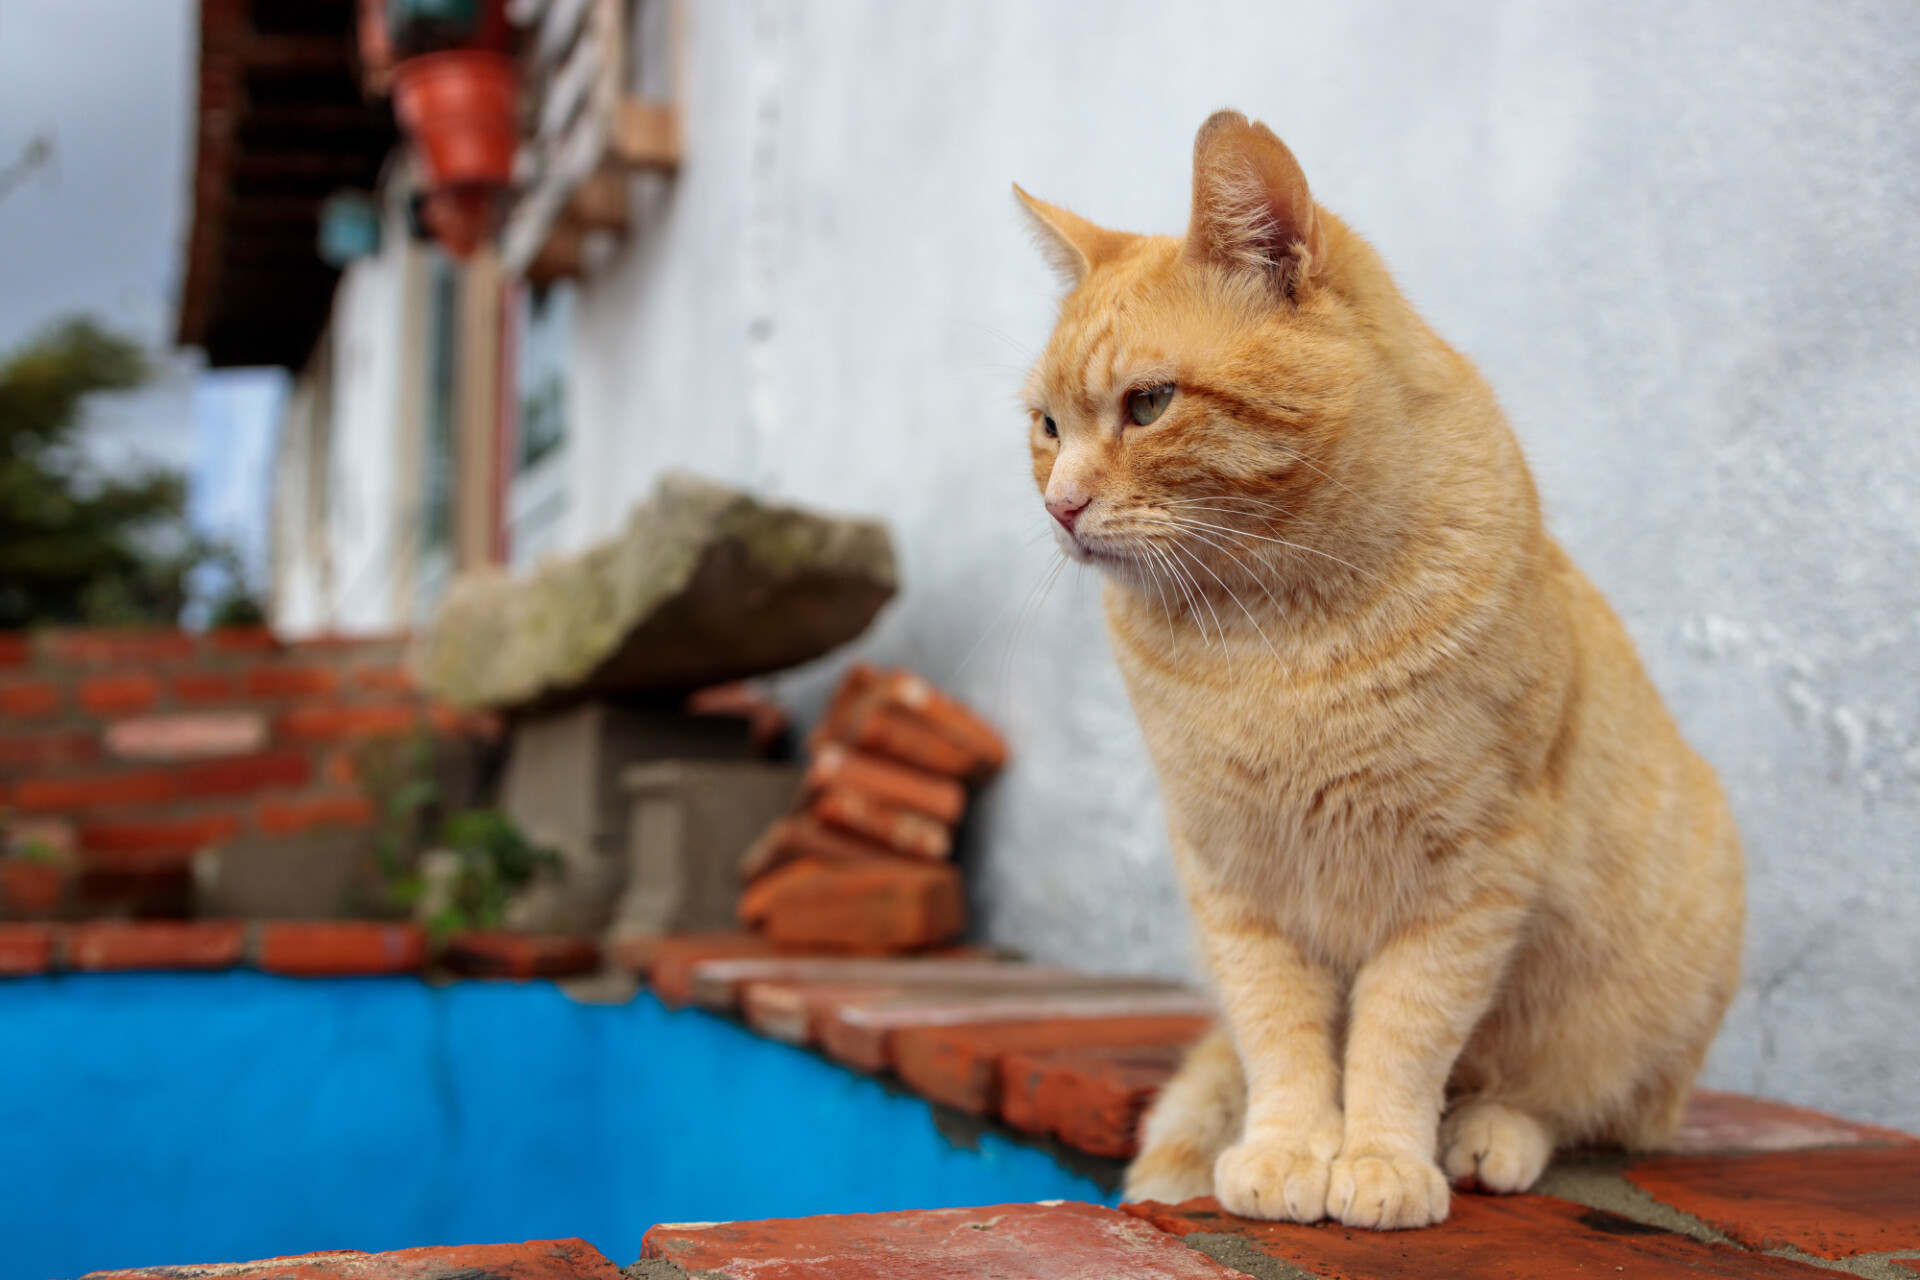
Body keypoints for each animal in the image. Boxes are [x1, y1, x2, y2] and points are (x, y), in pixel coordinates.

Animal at [1021, 112, 1743, 1228]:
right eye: (1046, 426)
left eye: (1148, 404)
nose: (1059, 504)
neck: (1272, 633)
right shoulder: (1237, 883)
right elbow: (1279, 1036)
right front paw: (1286, 1147)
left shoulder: (1468, 875)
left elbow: (1402, 1035)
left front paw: (1380, 1157)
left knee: (1580, 1101)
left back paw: (1488, 1134)